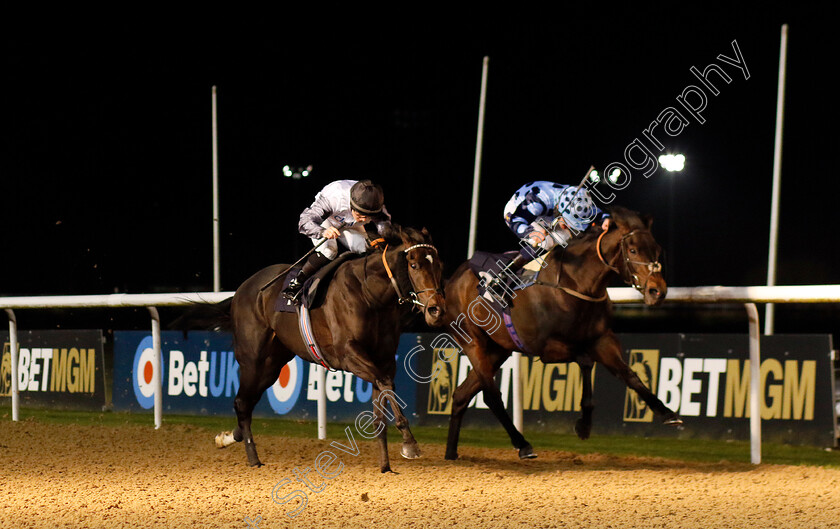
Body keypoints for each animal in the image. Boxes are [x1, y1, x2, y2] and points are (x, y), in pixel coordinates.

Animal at [178, 225, 446, 472]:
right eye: (414, 265)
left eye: (440, 265)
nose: (436, 310)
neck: (370, 293)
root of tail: (241, 290)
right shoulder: (348, 354)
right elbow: (385, 384)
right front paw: (410, 443)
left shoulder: (384, 359)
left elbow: (382, 401)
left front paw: (385, 466)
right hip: (253, 358)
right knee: (243, 402)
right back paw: (253, 459)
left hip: (272, 364)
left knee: (247, 401)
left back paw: (227, 438)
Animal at [442, 205, 680, 458]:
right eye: (633, 250)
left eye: (657, 250)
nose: (657, 291)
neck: (575, 283)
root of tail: (452, 280)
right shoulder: (547, 348)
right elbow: (586, 361)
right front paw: (584, 423)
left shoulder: (602, 339)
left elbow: (629, 374)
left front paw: (667, 413)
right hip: (472, 341)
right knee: (492, 396)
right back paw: (522, 444)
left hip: (498, 349)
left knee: (461, 395)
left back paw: (451, 453)